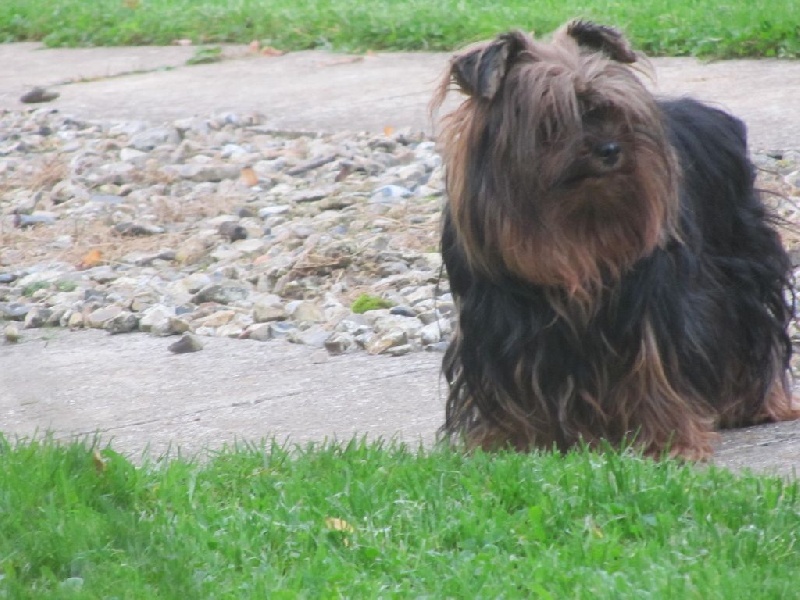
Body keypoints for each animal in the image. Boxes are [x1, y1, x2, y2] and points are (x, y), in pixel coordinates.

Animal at [432, 19, 800, 460]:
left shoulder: (648, 306)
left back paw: (755, 405)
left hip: (741, 259)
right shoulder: (498, 320)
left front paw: (667, 441)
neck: (574, 226)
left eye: (613, 111)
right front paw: (516, 444)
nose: (610, 149)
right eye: (553, 120)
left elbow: (653, 365)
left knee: (749, 329)